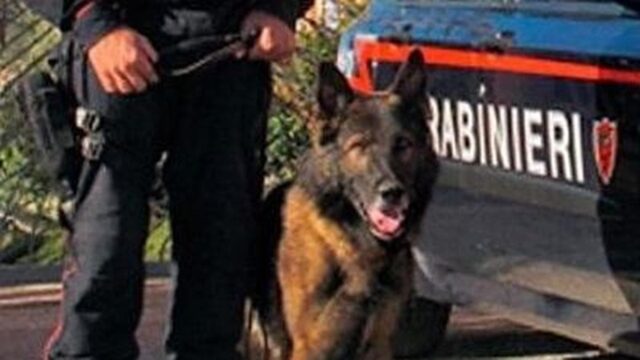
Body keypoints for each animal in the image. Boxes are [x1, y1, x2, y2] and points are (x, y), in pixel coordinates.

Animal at [246, 50, 440, 360]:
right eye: (359, 146)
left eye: (403, 145)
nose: (393, 194)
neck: (355, 246)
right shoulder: (310, 348)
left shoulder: (380, 345)